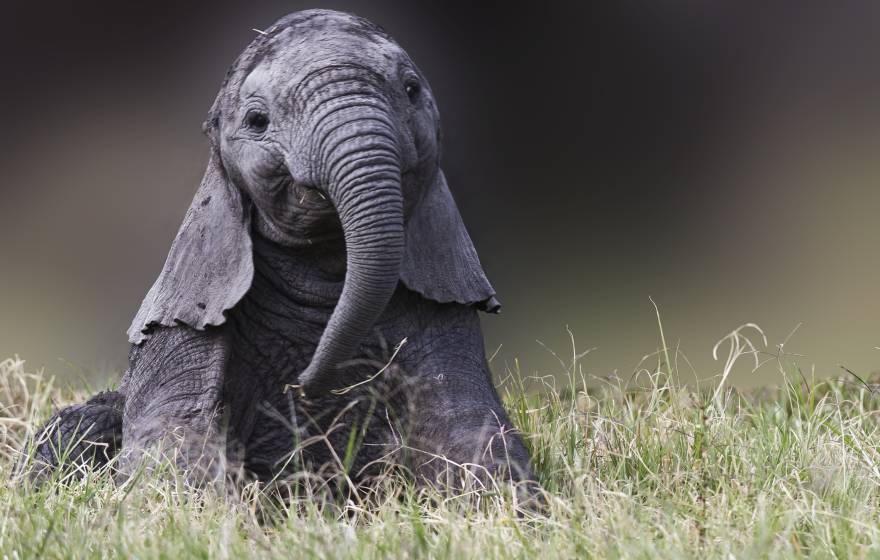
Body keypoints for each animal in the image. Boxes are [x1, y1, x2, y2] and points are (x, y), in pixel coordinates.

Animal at [25, 9, 538, 498]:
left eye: (411, 91)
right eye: (257, 121)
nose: (305, 383)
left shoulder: (448, 315)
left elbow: (471, 435)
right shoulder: (179, 328)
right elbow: (173, 446)